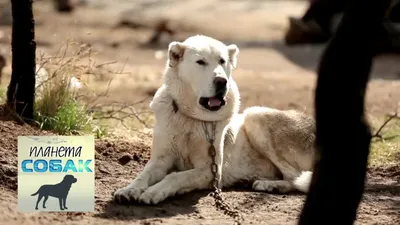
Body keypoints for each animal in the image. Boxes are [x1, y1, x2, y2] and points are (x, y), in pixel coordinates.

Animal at [113, 34, 318, 205]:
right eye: (200, 62)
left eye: (222, 61)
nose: (221, 81)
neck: (192, 117)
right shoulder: (160, 160)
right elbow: (143, 175)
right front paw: (129, 190)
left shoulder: (211, 171)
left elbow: (175, 177)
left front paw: (154, 191)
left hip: (255, 115)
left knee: (296, 177)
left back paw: (271, 185)